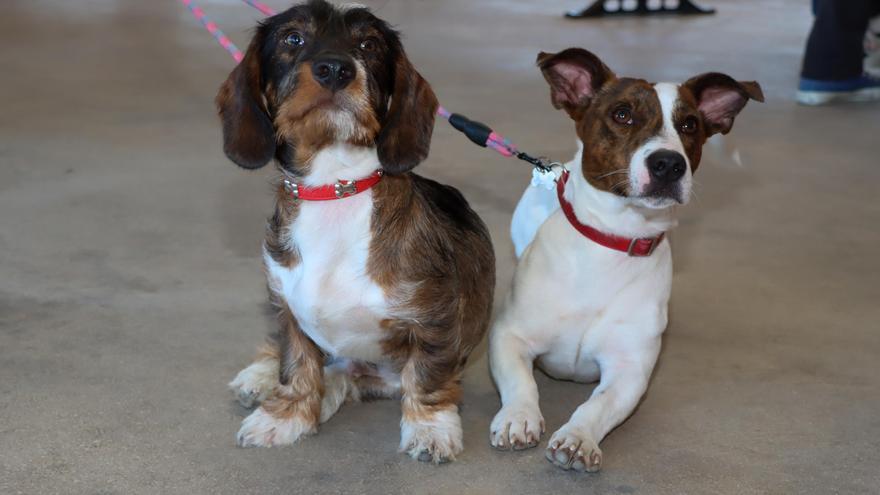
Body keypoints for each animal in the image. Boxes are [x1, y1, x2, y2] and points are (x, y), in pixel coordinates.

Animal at [220, 0, 496, 464]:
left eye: (369, 45)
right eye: (293, 38)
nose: (335, 69)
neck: (336, 187)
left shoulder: (436, 320)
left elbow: (427, 376)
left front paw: (431, 429)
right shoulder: (288, 310)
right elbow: (296, 365)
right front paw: (284, 417)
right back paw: (259, 375)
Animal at [488, 49, 764, 472]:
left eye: (689, 124)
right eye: (622, 114)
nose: (669, 164)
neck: (611, 242)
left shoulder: (629, 370)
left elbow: (597, 406)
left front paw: (578, 437)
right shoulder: (508, 335)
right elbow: (523, 381)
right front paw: (518, 417)